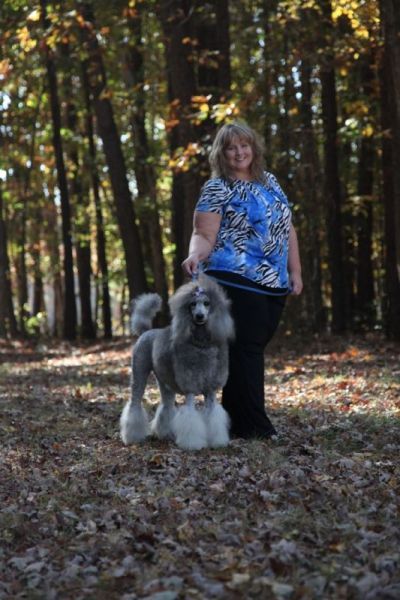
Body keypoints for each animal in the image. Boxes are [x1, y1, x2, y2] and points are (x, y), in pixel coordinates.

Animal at [120, 274, 235, 450]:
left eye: (207, 303)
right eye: (192, 304)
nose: (199, 316)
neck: (201, 346)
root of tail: (146, 332)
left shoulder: (210, 390)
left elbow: (213, 415)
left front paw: (218, 442)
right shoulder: (190, 388)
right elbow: (190, 417)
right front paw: (193, 444)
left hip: (164, 380)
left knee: (166, 406)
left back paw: (164, 433)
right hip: (139, 371)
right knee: (134, 403)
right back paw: (132, 437)